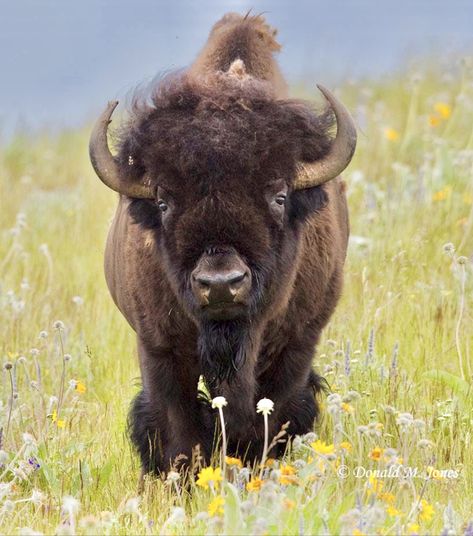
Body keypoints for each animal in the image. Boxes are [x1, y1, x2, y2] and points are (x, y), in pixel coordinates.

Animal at [88, 11, 354, 474]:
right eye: (163, 201)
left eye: (279, 195)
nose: (220, 284)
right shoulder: (159, 349)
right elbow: (178, 432)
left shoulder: (296, 345)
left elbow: (269, 420)